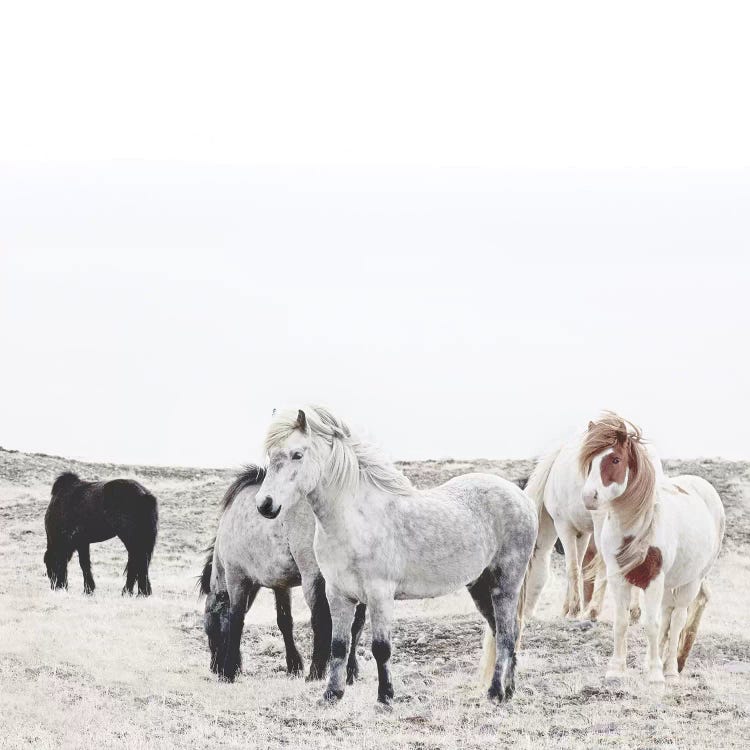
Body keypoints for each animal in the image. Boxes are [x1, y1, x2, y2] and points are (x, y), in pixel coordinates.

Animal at [256, 408, 536, 708]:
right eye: (270, 455)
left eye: (297, 454)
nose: (265, 505)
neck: (354, 520)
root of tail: (523, 498)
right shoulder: (338, 594)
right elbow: (339, 646)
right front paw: (332, 695)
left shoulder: (380, 594)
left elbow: (381, 648)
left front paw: (385, 697)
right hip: (480, 587)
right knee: (504, 632)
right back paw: (509, 690)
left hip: (505, 586)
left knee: (506, 636)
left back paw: (495, 693)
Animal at [580, 414, 724, 684]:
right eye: (590, 461)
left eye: (615, 459)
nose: (588, 497)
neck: (635, 527)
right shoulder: (618, 577)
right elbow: (622, 621)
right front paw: (616, 669)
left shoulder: (654, 579)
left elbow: (652, 624)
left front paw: (656, 674)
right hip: (669, 585)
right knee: (668, 616)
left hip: (691, 582)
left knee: (677, 620)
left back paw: (670, 670)